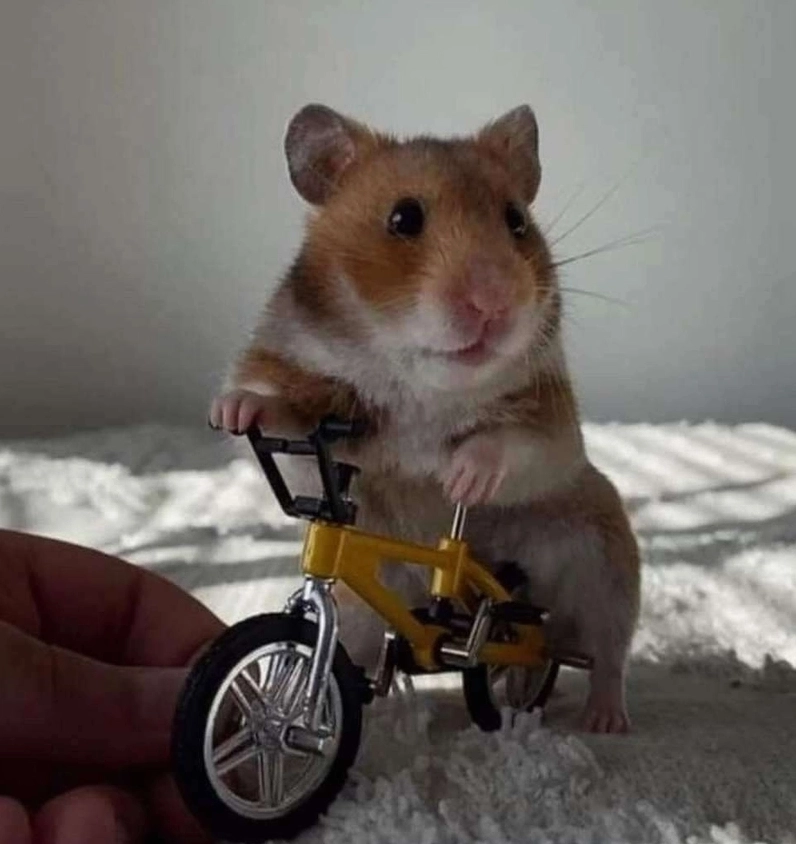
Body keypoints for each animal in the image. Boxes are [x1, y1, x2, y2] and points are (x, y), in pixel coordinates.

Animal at [209, 103, 640, 734]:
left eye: (516, 221)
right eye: (403, 218)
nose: (495, 303)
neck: (421, 386)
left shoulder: (553, 421)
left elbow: (518, 445)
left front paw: (459, 476)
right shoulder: (302, 407)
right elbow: (276, 412)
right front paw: (233, 410)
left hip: (605, 562)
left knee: (599, 654)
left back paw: (601, 720)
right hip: (360, 617)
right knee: (346, 658)